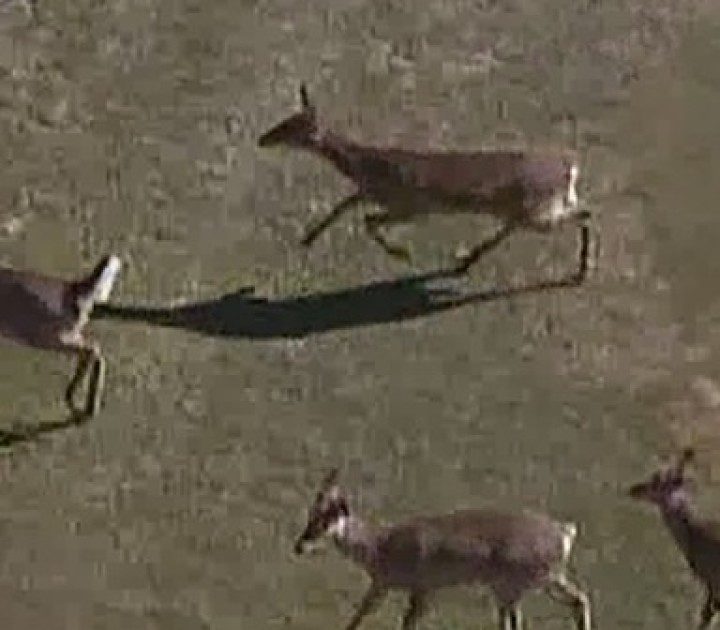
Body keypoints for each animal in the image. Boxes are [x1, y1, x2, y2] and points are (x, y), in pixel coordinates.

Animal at [0, 254, 122, 418]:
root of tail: (75, 289)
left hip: (48, 336)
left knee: (94, 350)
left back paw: (89, 407)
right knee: (90, 351)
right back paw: (74, 396)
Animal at [258, 84, 591, 283]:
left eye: (289, 128)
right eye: (284, 121)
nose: (262, 139)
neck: (364, 164)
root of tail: (570, 168)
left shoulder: (412, 205)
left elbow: (368, 220)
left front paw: (401, 253)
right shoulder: (375, 192)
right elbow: (344, 205)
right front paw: (308, 238)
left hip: (536, 211)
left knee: (584, 215)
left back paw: (583, 271)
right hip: (526, 209)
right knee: (519, 226)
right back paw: (465, 262)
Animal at [294, 469, 592, 630]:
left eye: (328, 517)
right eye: (311, 513)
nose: (299, 546)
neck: (383, 544)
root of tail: (563, 531)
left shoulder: (420, 590)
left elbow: (404, 624)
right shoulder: (382, 586)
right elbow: (359, 616)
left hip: (512, 590)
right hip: (546, 582)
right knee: (579, 600)